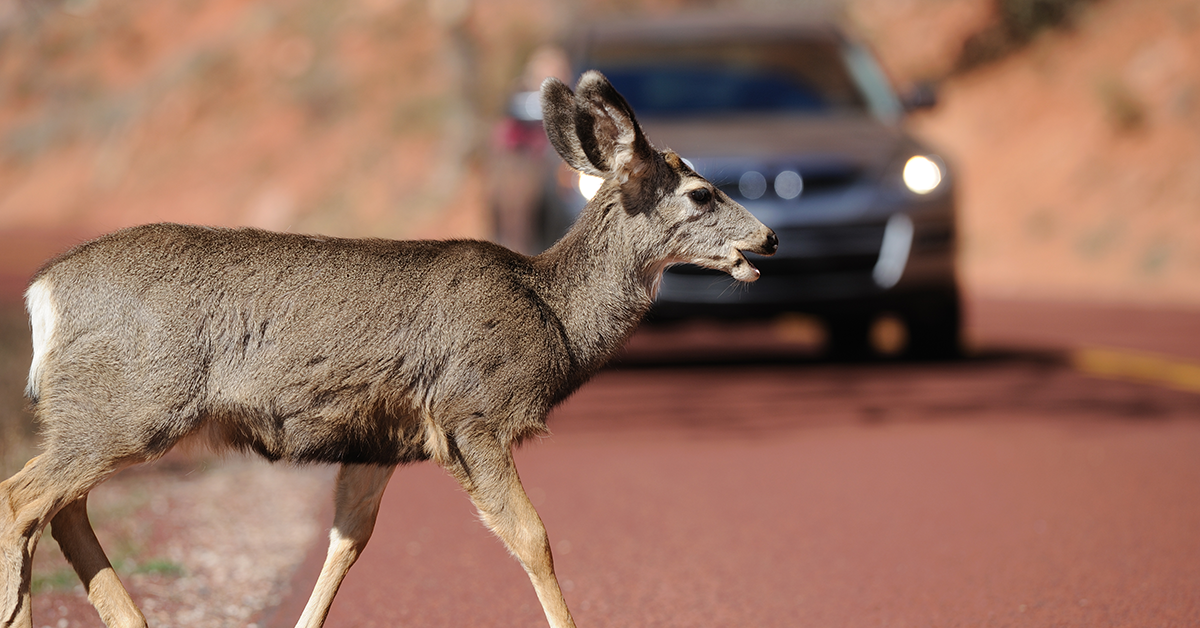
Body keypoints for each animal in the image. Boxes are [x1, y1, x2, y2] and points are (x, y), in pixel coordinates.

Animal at [0, 71, 777, 624]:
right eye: (702, 194)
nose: (768, 239)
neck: (552, 313)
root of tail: (43, 292)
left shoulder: (379, 439)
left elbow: (347, 544)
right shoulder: (472, 411)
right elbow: (534, 538)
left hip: (102, 413)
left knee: (61, 509)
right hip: (129, 405)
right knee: (21, 497)